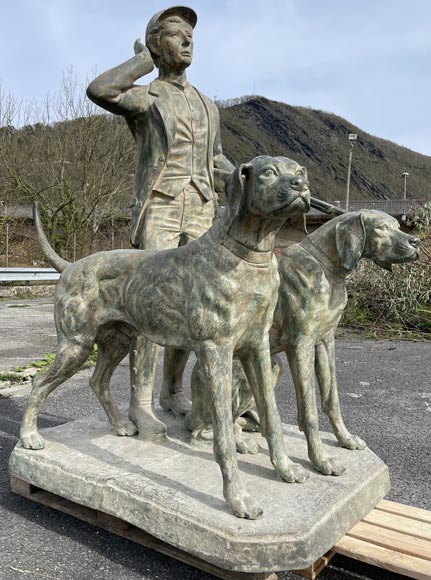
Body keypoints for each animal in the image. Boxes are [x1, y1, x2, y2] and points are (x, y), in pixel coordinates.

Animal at [20, 155, 310, 520]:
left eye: (298, 171)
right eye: (269, 172)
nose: (301, 186)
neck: (248, 255)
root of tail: (70, 266)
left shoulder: (255, 349)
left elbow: (271, 417)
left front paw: (285, 469)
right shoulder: (217, 351)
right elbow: (224, 435)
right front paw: (238, 498)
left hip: (118, 341)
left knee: (97, 381)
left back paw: (120, 424)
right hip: (75, 346)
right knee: (39, 383)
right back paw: (29, 436)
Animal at [187, 211, 420, 474]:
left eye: (398, 226)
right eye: (381, 227)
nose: (416, 242)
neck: (327, 269)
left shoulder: (325, 342)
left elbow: (331, 399)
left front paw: (345, 439)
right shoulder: (302, 344)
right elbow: (309, 411)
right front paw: (321, 460)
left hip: (271, 367)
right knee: (209, 428)